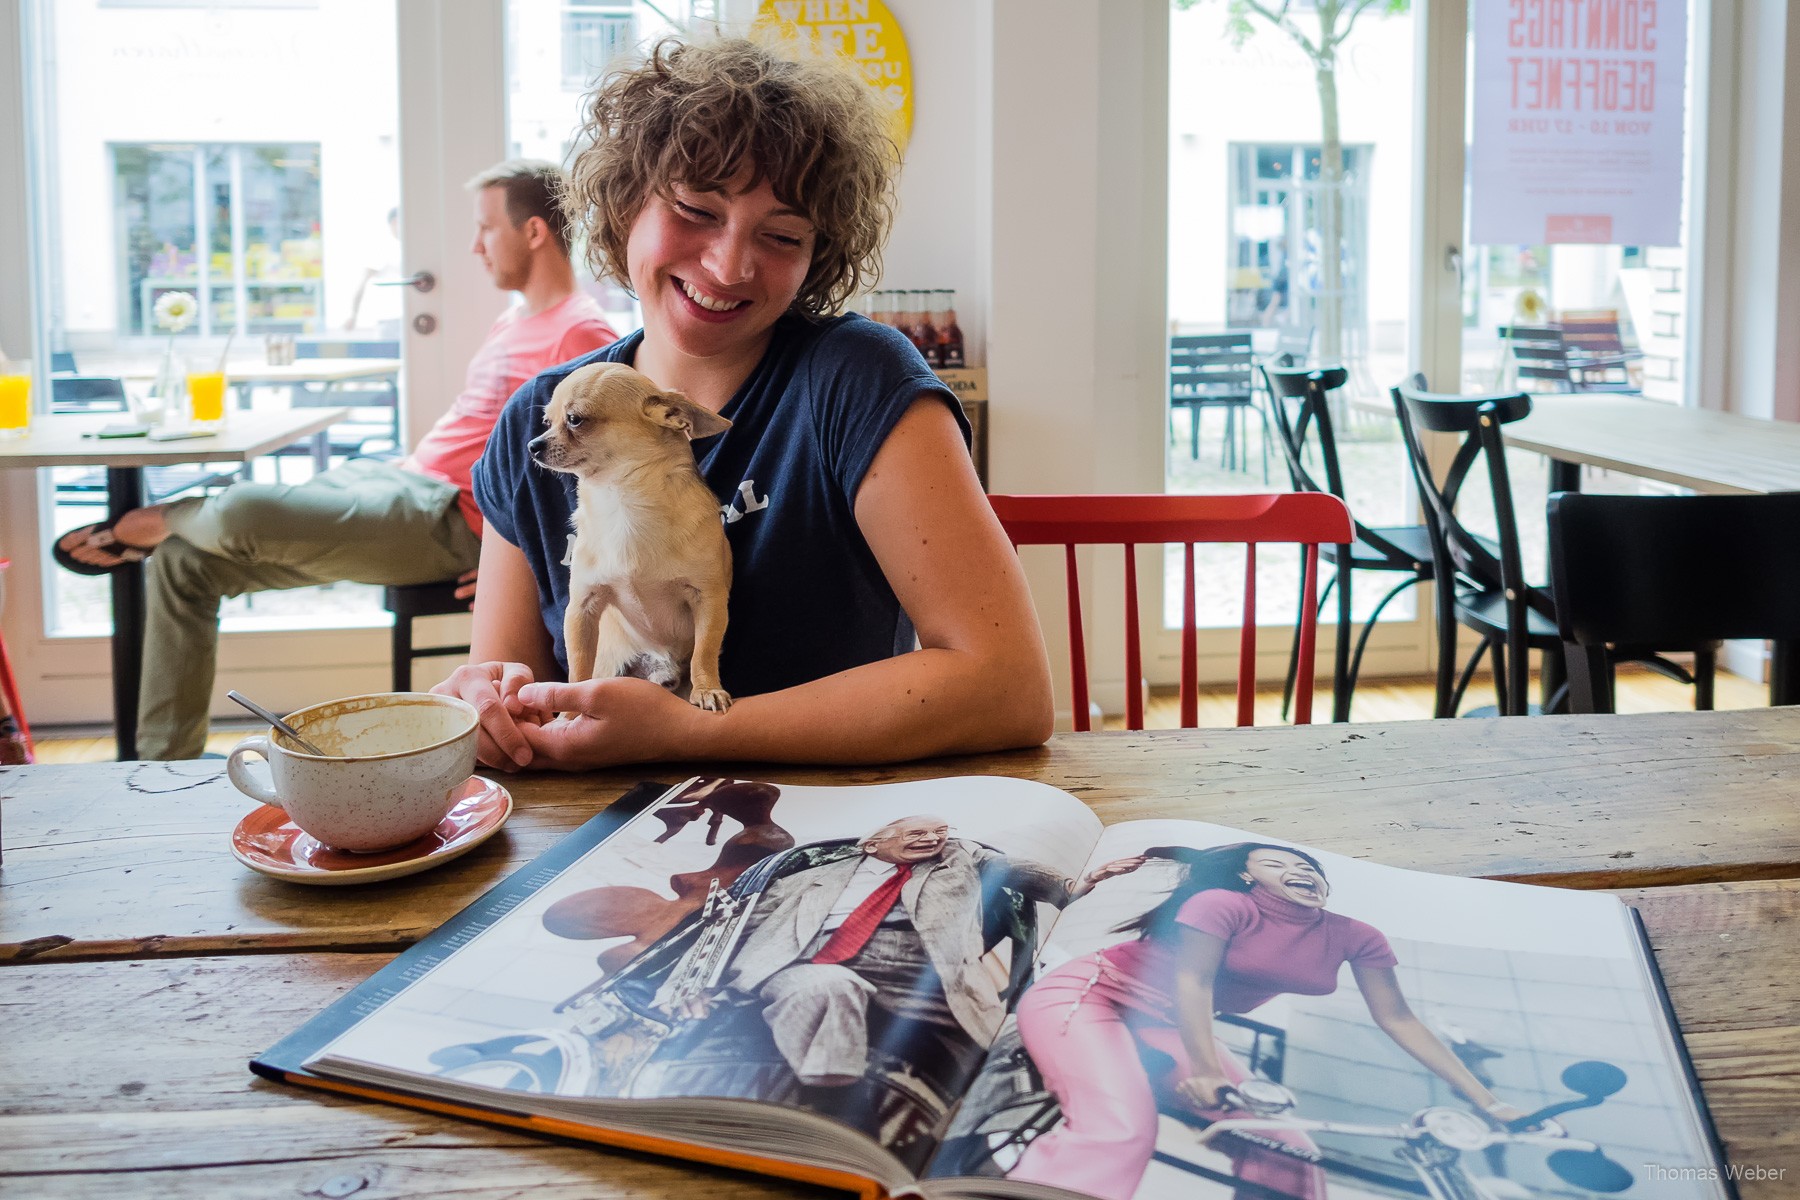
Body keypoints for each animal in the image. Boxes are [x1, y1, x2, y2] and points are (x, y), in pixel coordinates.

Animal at [529, 361, 734, 708]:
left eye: (575, 419)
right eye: (546, 422)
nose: (533, 445)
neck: (622, 499)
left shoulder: (709, 599)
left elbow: (704, 651)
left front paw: (707, 689)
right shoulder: (582, 608)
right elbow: (579, 663)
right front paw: (571, 704)